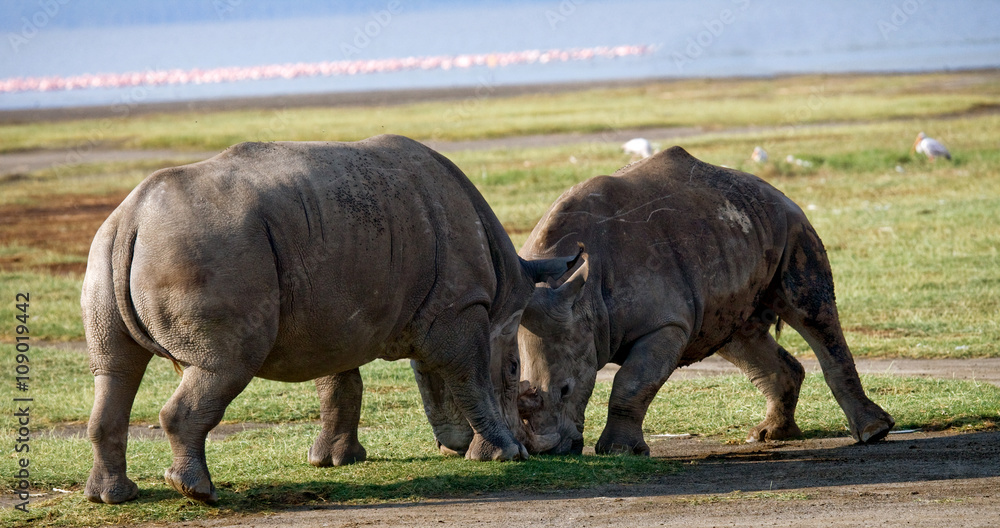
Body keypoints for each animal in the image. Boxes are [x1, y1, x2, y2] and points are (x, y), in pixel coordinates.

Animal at [81, 135, 578, 504]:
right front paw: (504, 455)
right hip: (206, 248)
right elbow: (469, 375)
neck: (504, 286)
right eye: (514, 370)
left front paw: (337, 460)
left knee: (115, 369)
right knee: (223, 365)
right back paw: (199, 493)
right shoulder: (461, 306)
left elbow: (342, 384)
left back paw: (114, 497)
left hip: (108, 250)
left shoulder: (339, 313)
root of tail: (132, 217)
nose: (531, 449)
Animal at [516, 146, 895, 455]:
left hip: (791, 225)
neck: (583, 300)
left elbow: (632, 382)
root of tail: (770, 188)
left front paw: (620, 452)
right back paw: (768, 435)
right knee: (736, 335)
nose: (549, 452)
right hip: (734, 231)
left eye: (566, 390)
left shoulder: (666, 323)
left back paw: (873, 433)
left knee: (812, 313)